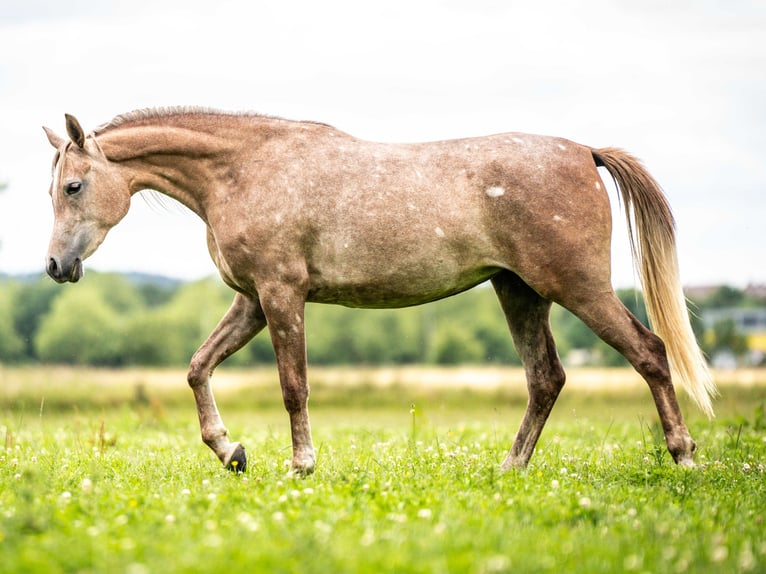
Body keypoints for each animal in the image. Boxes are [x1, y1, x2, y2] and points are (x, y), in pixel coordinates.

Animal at [42, 109, 716, 476]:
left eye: (73, 186)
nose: (54, 265)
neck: (242, 170)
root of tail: (586, 152)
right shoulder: (253, 301)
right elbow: (197, 367)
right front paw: (230, 450)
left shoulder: (281, 296)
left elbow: (293, 387)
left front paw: (301, 465)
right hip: (520, 292)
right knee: (546, 378)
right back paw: (510, 468)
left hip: (576, 288)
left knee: (649, 353)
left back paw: (684, 455)